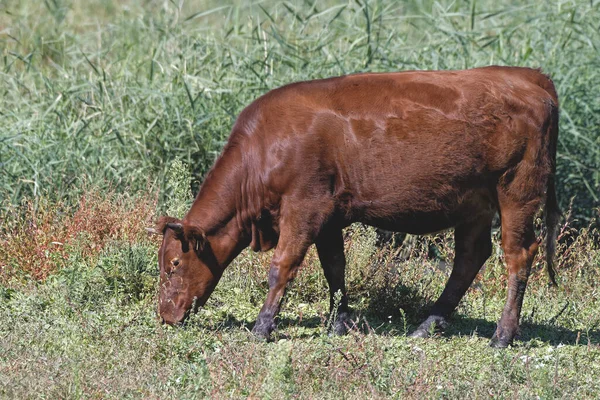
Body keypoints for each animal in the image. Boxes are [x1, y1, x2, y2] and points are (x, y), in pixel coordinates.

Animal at [154, 65, 556, 346]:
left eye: (174, 263)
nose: (165, 316)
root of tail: (527, 76)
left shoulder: (303, 207)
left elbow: (281, 268)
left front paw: (262, 327)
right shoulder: (328, 216)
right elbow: (335, 268)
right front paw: (338, 323)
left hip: (516, 191)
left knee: (518, 254)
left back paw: (502, 335)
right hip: (474, 202)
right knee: (470, 257)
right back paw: (428, 325)